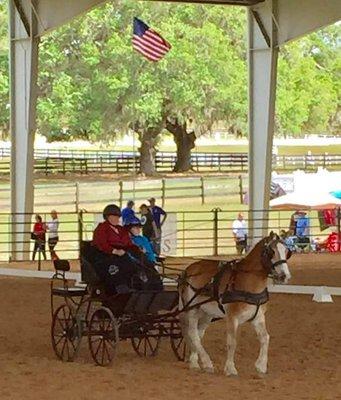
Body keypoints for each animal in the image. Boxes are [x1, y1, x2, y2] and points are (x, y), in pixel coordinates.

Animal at [177, 231, 290, 376]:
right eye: (272, 252)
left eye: (287, 251)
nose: (285, 276)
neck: (246, 281)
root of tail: (187, 270)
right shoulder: (232, 317)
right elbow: (232, 342)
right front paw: (230, 368)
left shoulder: (258, 317)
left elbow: (265, 338)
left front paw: (261, 366)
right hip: (193, 309)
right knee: (192, 333)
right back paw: (206, 363)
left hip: (207, 313)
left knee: (198, 334)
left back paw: (194, 361)